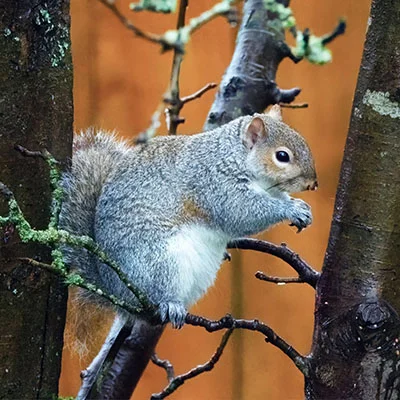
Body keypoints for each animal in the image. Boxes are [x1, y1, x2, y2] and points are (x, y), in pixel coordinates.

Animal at [59, 106, 318, 328]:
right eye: (282, 156)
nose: (313, 184)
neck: (232, 157)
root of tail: (115, 290)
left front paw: (300, 207)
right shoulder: (214, 183)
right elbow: (241, 212)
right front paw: (289, 209)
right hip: (160, 263)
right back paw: (170, 304)